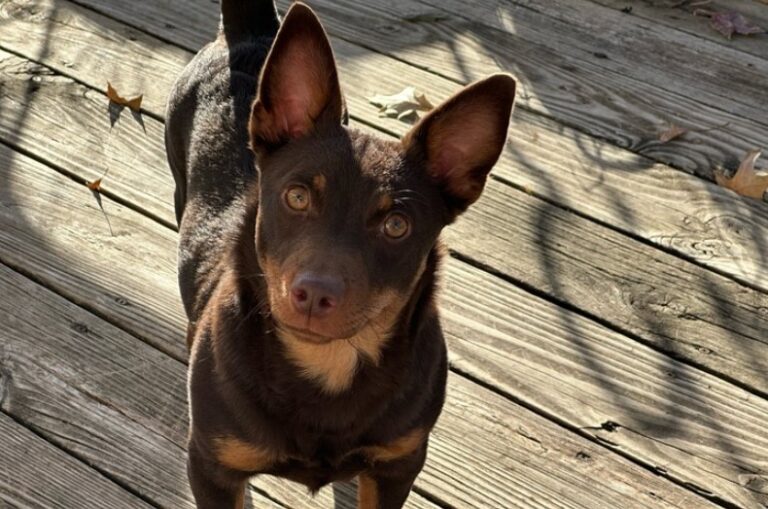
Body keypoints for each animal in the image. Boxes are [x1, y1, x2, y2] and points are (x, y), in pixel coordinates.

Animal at [166, 1, 516, 506]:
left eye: (396, 226)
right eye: (296, 197)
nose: (314, 294)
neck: (328, 366)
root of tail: (249, 35)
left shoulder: (398, 464)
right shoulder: (212, 465)